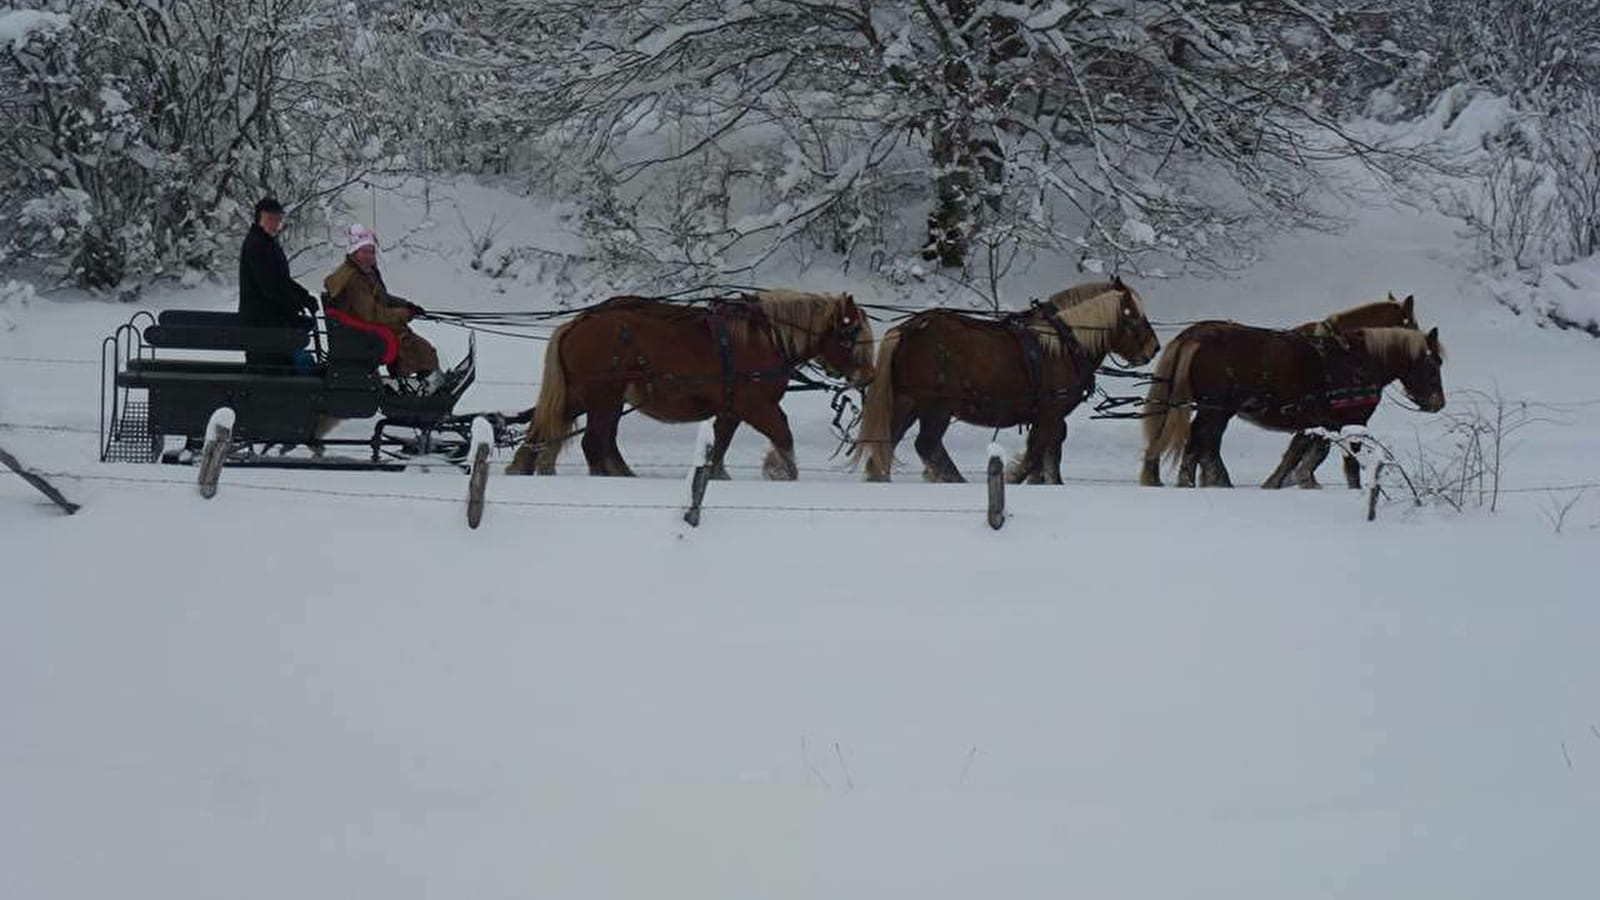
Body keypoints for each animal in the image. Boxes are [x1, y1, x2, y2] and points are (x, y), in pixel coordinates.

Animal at [505, 291, 876, 480]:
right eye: (851, 335)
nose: (868, 377)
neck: (766, 337)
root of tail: (579, 322)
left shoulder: (732, 407)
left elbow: (722, 440)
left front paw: (717, 473)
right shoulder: (755, 403)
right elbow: (783, 433)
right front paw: (783, 471)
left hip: (587, 394)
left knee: (550, 424)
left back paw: (523, 465)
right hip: (603, 395)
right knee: (594, 442)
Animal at [851, 278, 1164, 483]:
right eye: (1134, 315)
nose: (1154, 348)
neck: (1064, 344)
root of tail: (909, 329)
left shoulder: (1049, 417)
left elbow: (1049, 455)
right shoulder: (1050, 413)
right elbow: (1036, 454)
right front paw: (1014, 478)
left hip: (907, 401)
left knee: (888, 441)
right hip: (937, 405)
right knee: (927, 444)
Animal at [1139, 321, 1452, 486]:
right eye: (1433, 364)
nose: (1438, 403)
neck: (1359, 361)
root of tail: (1195, 335)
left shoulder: (1318, 423)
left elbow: (1300, 457)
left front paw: (1282, 484)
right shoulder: (1352, 424)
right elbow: (1348, 464)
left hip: (1213, 410)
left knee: (1200, 445)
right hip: (1216, 410)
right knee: (1202, 444)